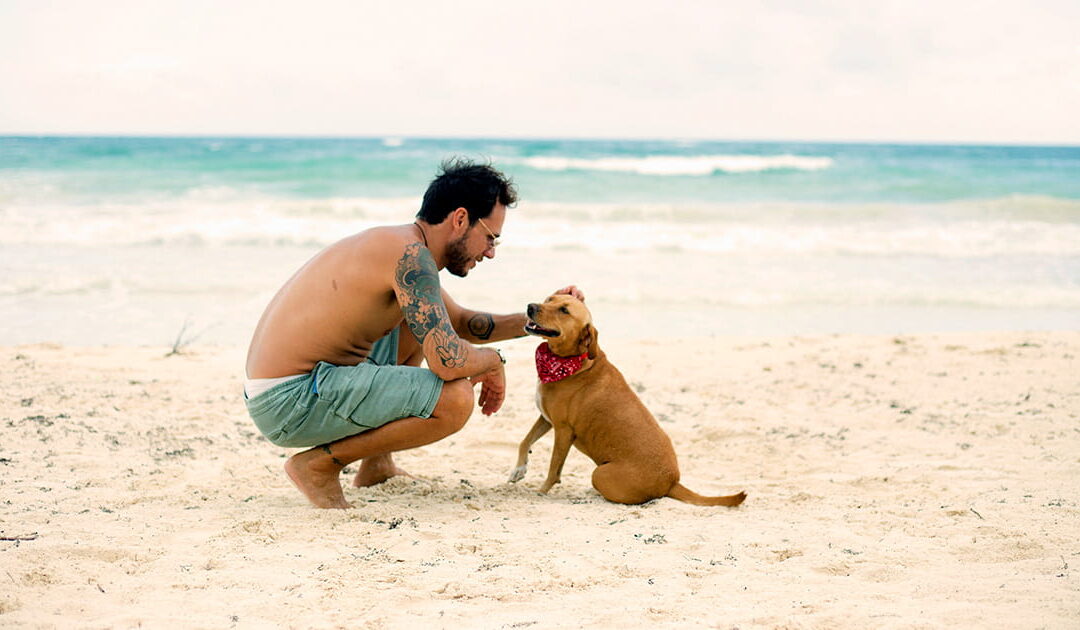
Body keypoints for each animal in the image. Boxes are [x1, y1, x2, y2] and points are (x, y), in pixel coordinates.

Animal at [509, 293, 747, 510]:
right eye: (550, 299)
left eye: (564, 310)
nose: (530, 307)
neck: (570, 362)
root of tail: (672, 482)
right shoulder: (546, 418)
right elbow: (525, 441)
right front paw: (519, 469)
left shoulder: (563, 430)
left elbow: (554, 468)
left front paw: (541, 492)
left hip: (600, 473)